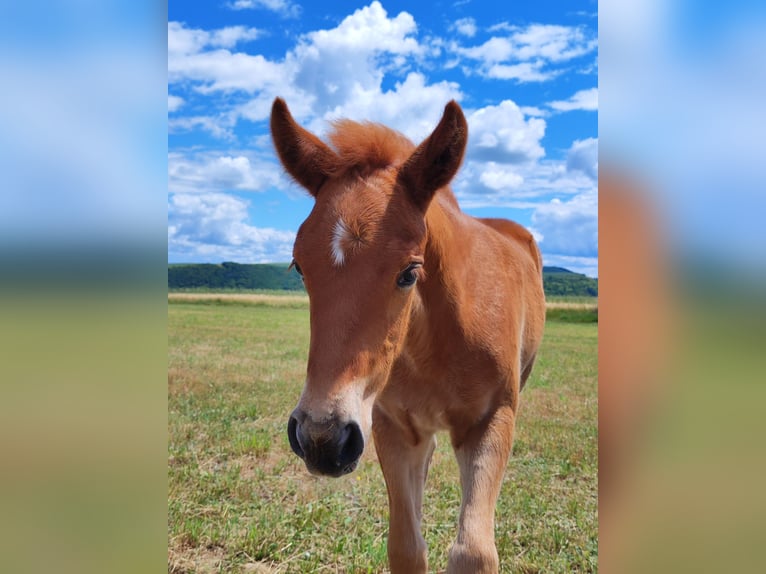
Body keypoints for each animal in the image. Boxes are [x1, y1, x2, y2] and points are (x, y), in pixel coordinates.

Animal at [270, 97, 546, 573]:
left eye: (409, 272)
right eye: (300, 266)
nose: (321, 438)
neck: (433, 345)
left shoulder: (494, 419)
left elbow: (474, 551)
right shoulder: (390, 426)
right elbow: (405, 547)